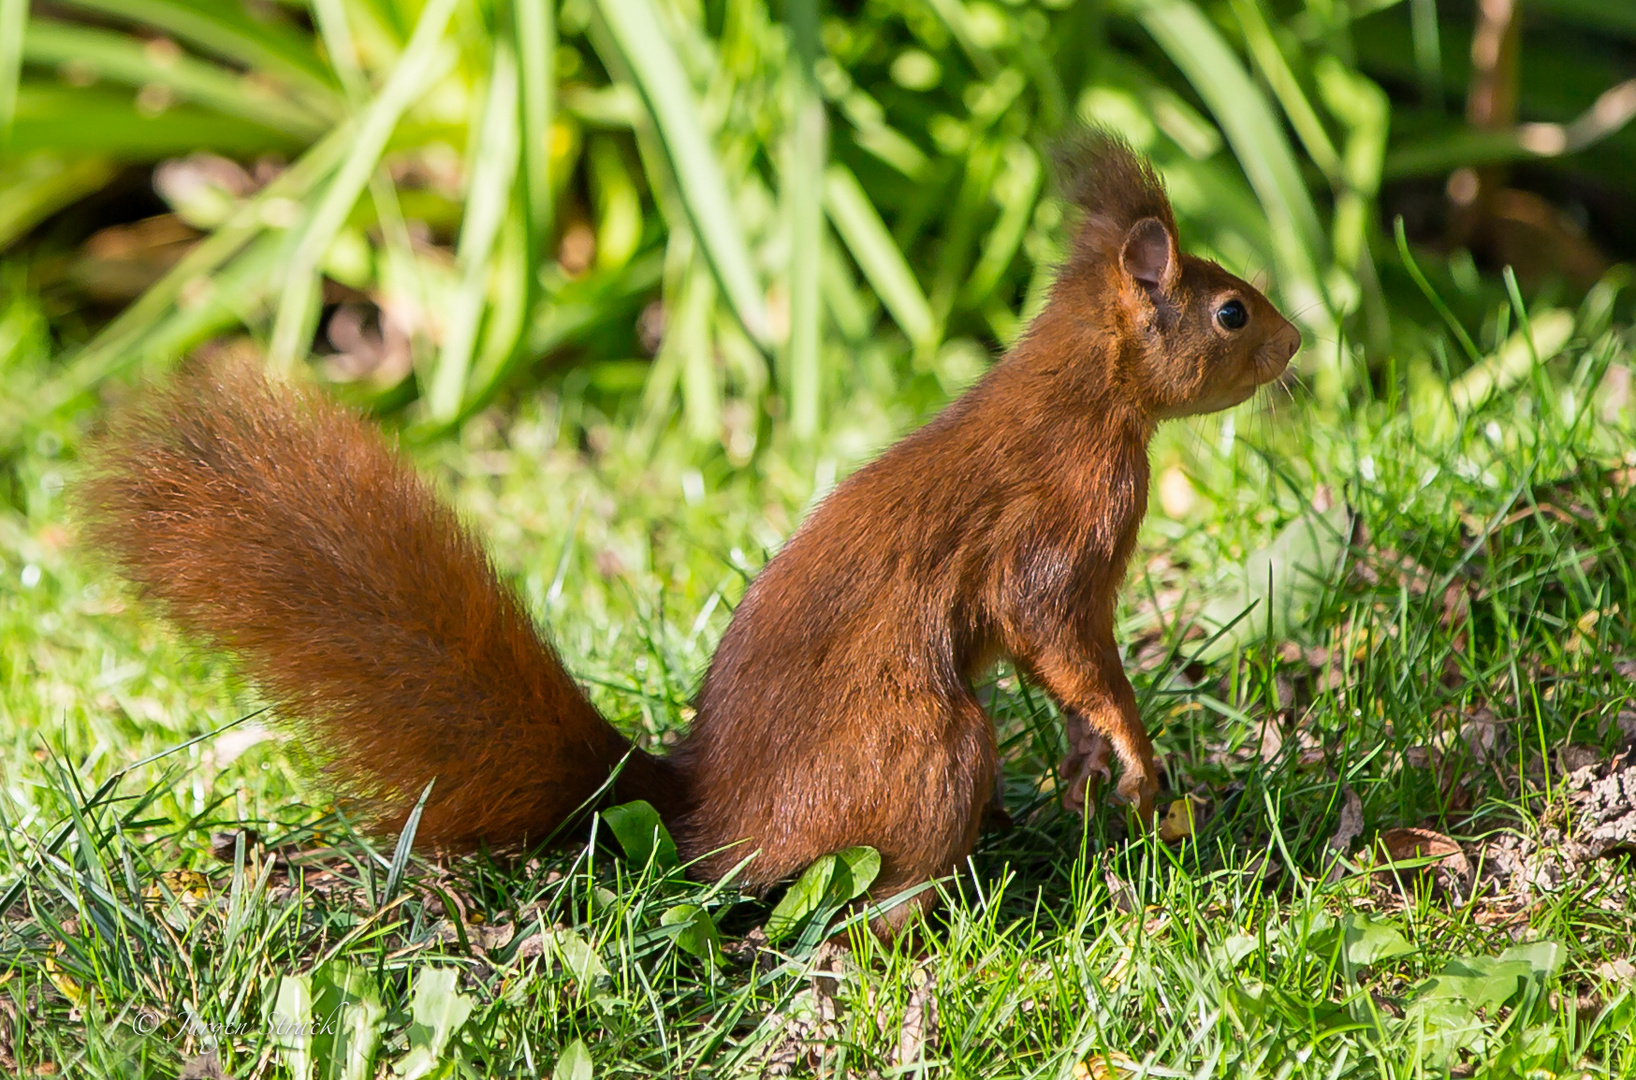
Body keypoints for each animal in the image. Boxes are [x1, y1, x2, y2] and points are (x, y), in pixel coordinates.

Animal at [83, 135, 1295, 929]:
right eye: (1230, 311)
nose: (1297, 341)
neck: (1086, 397)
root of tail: (709, 815)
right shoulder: (1052, 538)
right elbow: (1067, 644)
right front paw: (1134, 753)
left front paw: (1097, 765)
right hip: (930, 746)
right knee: (873, 891)